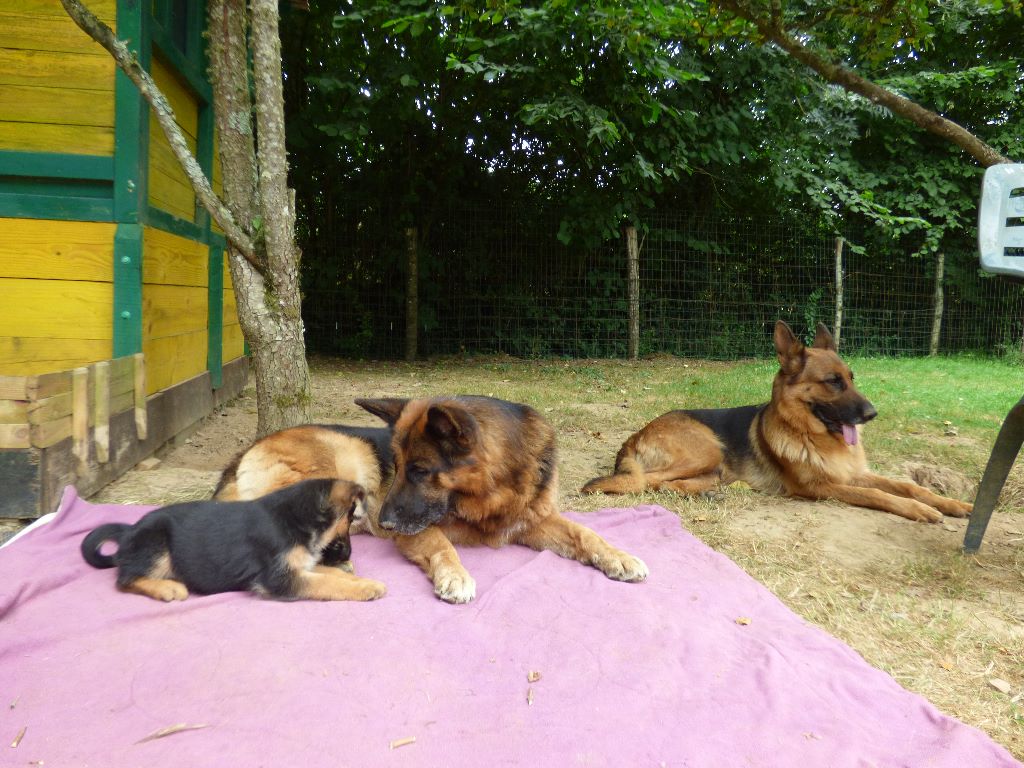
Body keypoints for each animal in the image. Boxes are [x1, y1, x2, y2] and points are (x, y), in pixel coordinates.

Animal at [81, 479, 385, 606]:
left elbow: (327, 573)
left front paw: (356, 578)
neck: (298, 517)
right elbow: (326, 582)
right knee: (125, 580)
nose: (348, 554)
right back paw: (167, 588)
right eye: (351, 518)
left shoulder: (295, 567)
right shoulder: (278, 578)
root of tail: (129, 531)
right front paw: (366, 587)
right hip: (157, 542)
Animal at [352, 397, 647, 606]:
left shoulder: (533, 521)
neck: (495, 492)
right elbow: (440, 543)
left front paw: (618, 557)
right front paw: (455, 575)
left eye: (420, 470)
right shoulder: (417, 531)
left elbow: (584, 533)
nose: (383, 523)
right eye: (397, 467)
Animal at [581, 321, 970, 528]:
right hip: (707, 450)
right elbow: (878, 494)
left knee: (666, 483)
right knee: (647, 482)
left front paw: (951, 504)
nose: (872, 414)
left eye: (852, 378)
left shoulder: (852, 474)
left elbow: (905, 485)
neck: (810, 434)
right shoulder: (820, 487)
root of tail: (636, 435)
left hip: (714, 466)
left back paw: (707, 492)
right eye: (833, 382)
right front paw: (922, 511)